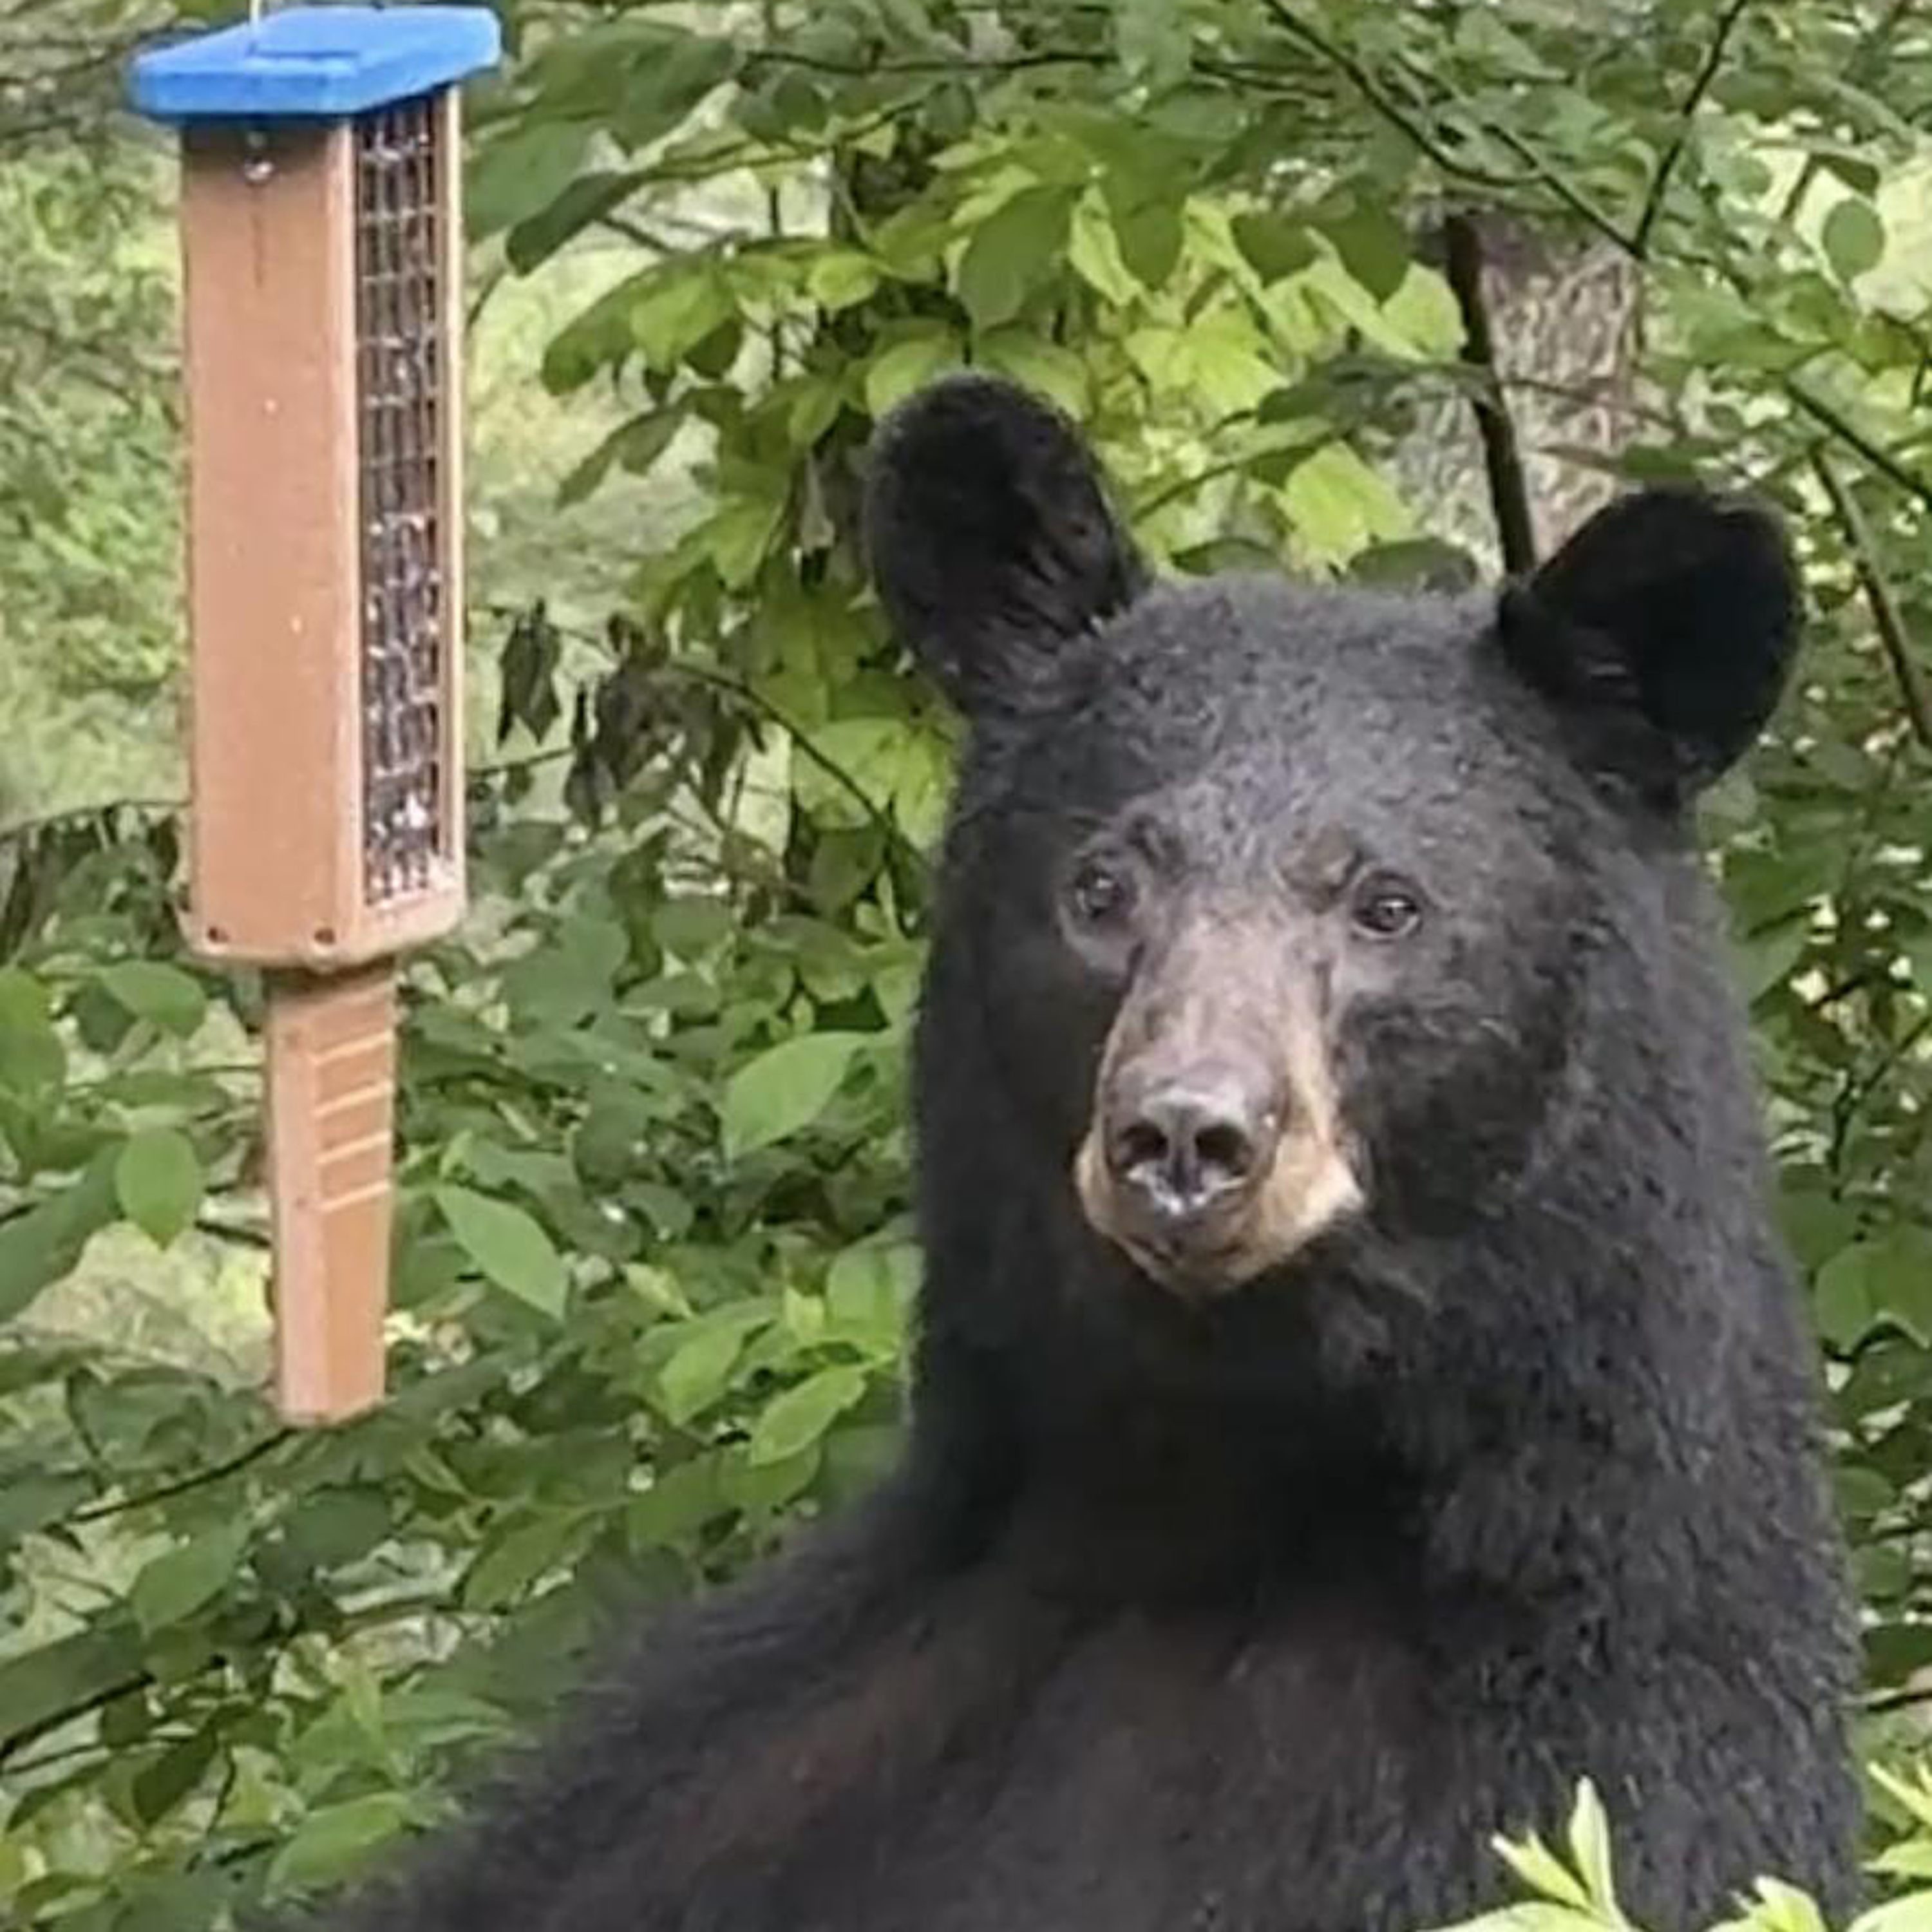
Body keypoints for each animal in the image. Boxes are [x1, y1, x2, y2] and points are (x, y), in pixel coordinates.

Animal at [297, 373, 1861, 1932]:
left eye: (1388, 905)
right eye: (1103, 886)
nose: (1187, 1136)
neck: (1198, 1509)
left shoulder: (1576, 1796)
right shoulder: (725, 1779)